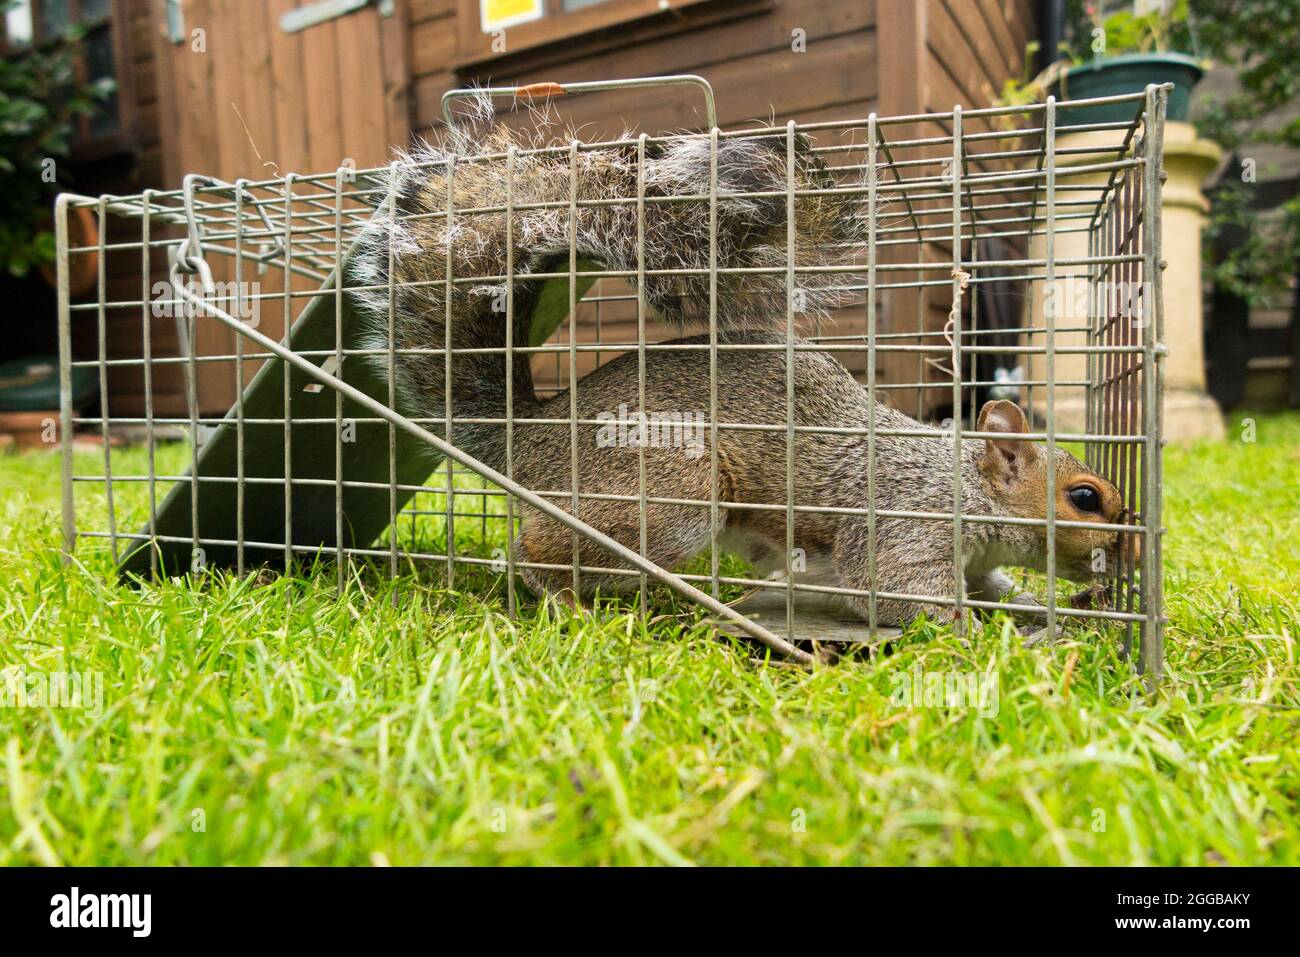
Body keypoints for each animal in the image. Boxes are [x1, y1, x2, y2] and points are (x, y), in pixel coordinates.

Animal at [353, 110, 1128, 629]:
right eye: (1084, 498)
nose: (1121, 556)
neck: (963, 481)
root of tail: (529, 435)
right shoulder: (908, 522)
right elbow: (903, 589)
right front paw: (986, 640)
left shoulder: (975, 559)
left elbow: (999, 590)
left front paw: (1052, 610)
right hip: (668, 499)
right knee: (535, 553)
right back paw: (577, 605)